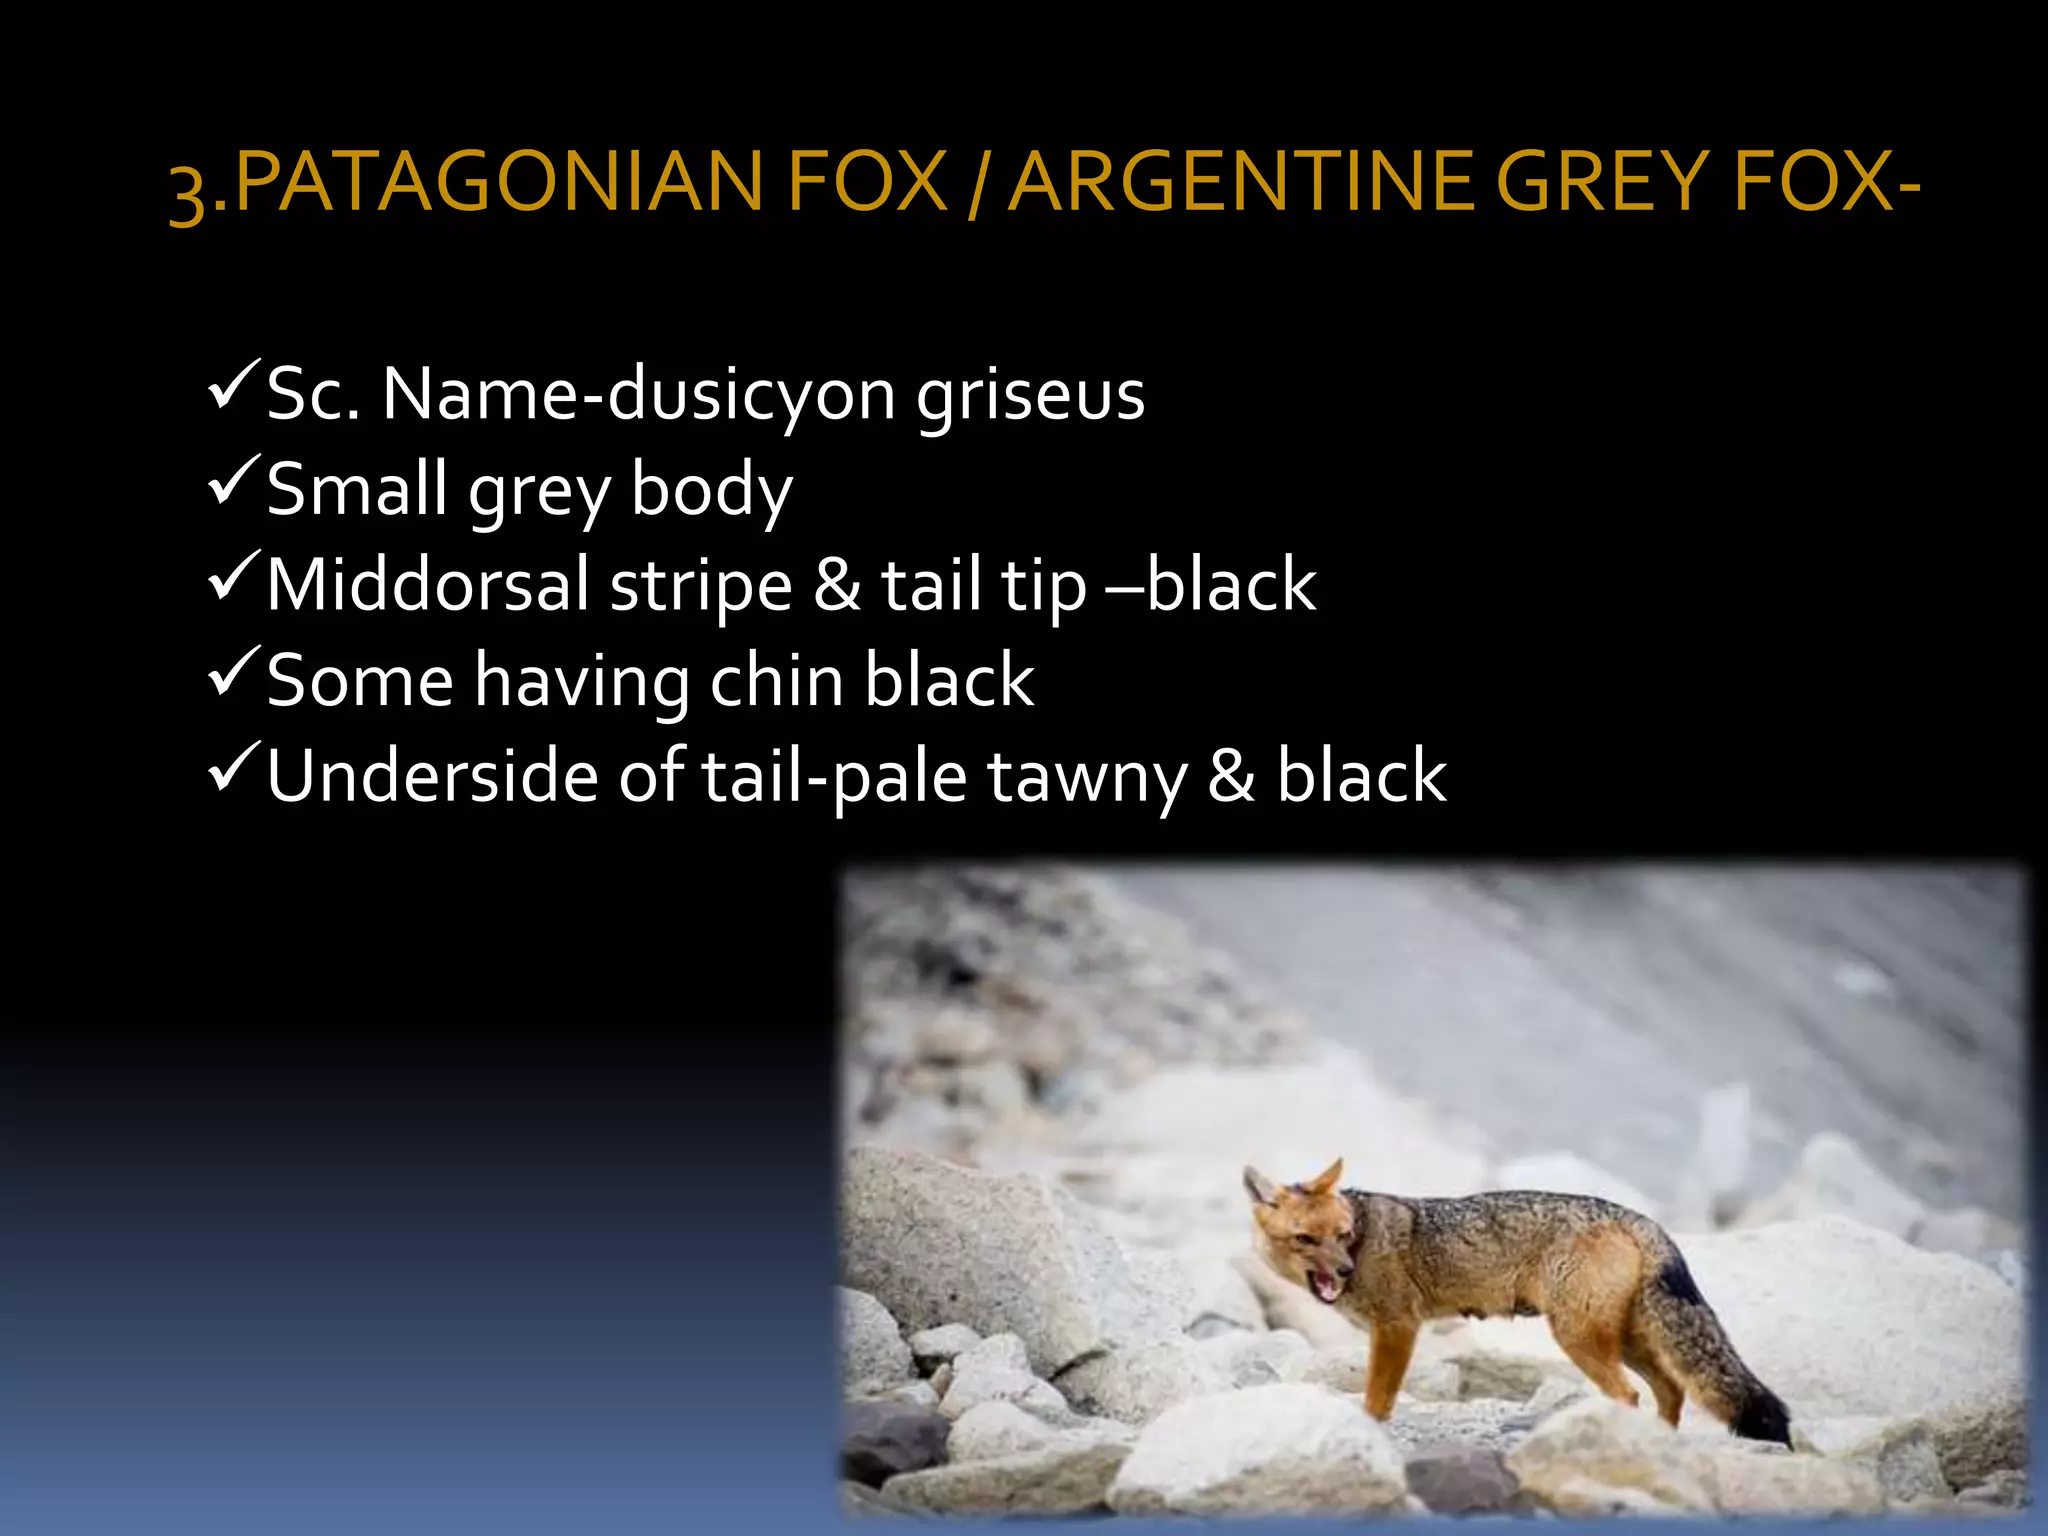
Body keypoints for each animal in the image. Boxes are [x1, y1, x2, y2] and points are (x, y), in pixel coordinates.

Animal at [1244, 1157, 1792, 1447]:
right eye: (1307, 1240)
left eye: (1343, 1235)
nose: (1343, 1271)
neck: (1366, 1233)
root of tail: (1640, 1219)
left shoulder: (1398, 1327)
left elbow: (1377, 1399)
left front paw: (1367, 1432)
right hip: (1628, 1341)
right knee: (1671, 1392)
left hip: (1580, 1339)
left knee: (1630, 1395)